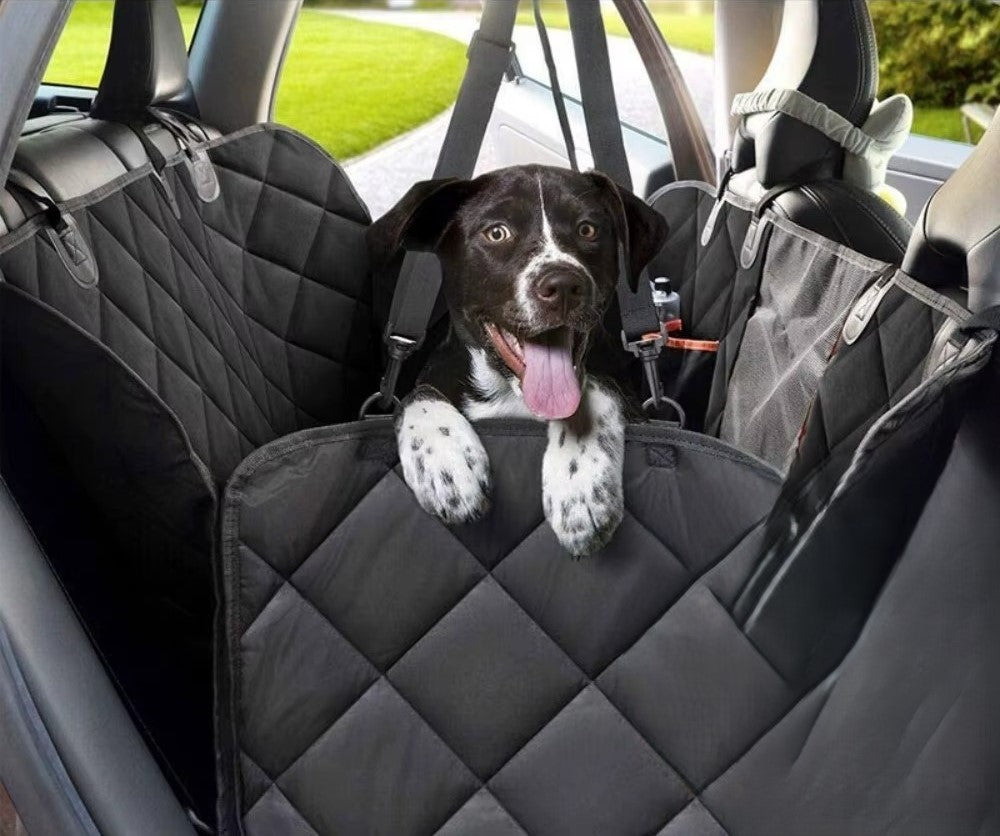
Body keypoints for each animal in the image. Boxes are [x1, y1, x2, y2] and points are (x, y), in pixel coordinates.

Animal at [367, 164, 668, 556]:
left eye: (587, 229)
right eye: (497, 232)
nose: (563, 286)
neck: (513, 396)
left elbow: (596, 389)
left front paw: (579, 485)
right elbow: (417, 397)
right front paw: (445, 461)